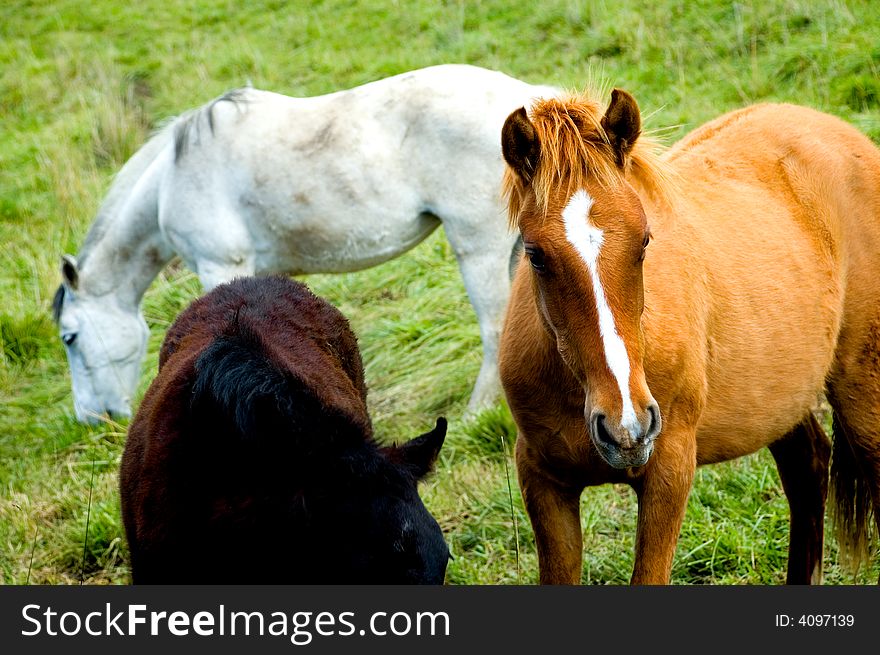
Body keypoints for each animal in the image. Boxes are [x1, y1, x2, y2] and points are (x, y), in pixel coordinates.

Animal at [53, 65, 556, 426]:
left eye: (70, 337)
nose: (91, 419)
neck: (175, 177)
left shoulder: (219, 266)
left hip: (479, 249)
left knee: (494, 328)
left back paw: (477, 414)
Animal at [498, 87, 880, 584]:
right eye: (536, 255)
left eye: (643, 240)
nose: (626, 428)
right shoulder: (544, 481)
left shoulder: (669, 470)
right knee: (808, 465)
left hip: (861, 389)